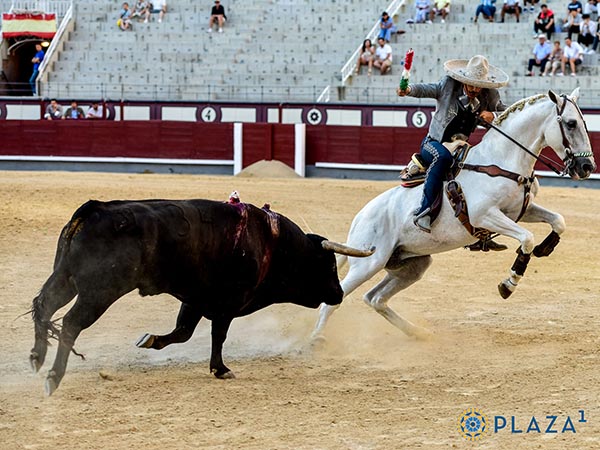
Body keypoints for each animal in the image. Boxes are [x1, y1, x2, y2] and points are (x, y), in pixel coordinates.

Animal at [31, 200, 376, 394]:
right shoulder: (227, 302)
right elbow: (217, 335)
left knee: (44, 305)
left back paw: (37, 357)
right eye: (328, 264)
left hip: (66, 278)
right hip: (99, 291)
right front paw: (220, 369)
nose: (339, 294)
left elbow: (182, 332)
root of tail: (95, 209)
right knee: (71, 323)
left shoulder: (195, 298)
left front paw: (149, 340)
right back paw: (52, 377)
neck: (273, 244)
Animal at [314, 89, 596, 342]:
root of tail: (359, 218)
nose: (587, 167)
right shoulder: (485, 215)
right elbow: (527, 238)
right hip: (369, 263)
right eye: (570, 123)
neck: (501, 159)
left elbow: (558, 220)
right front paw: (509, 284)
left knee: (375, 298)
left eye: (584, 123)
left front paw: (545, 248)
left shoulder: (521, 211)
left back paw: (417, 332)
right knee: (334, 300)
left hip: (411, 265)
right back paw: (314, 340)